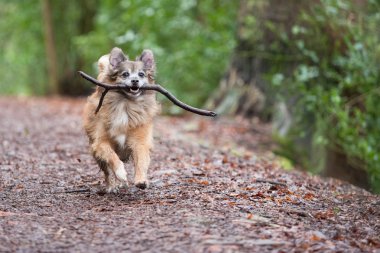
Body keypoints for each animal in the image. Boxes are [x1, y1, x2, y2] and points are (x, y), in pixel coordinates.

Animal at [82, 47, 160, 193]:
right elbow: (112, 157)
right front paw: (121, 173)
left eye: (141, 74)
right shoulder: (100, 143)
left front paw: (141, 180)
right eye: (125, 74)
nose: (135, 80)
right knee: (107, 171)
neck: (127, 105)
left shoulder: (140, 142)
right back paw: (112, 185)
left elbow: (141, 160)